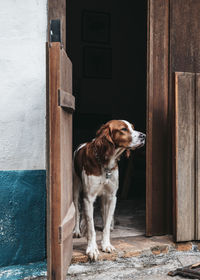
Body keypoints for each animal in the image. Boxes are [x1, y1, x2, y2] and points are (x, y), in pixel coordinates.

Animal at [73, 120, 145, 260]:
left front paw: (106, 244)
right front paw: (92, 249)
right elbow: (91, 228)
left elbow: (105, 225)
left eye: (133, 127)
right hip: (75, 188)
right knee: (78, 211)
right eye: (123, 129)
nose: (144, 136)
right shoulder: (88, 197)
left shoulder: (111, 197)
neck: (105, 164)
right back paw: (77, 230)